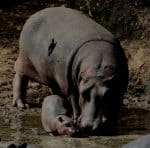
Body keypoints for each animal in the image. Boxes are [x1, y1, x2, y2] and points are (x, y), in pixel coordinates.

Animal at [12, 6, 129, 134]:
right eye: (84, 93)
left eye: (108, 94)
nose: (90, 126)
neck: (98, 69)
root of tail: (33, 15)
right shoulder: (71, 86)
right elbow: (75, 102)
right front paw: (75, 118)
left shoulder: (119, 90)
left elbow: (116, 105)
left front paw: (113, 125)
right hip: (25, 60)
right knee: (20, 77)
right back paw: (22, 105)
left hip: (51, 74)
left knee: (53, 87)